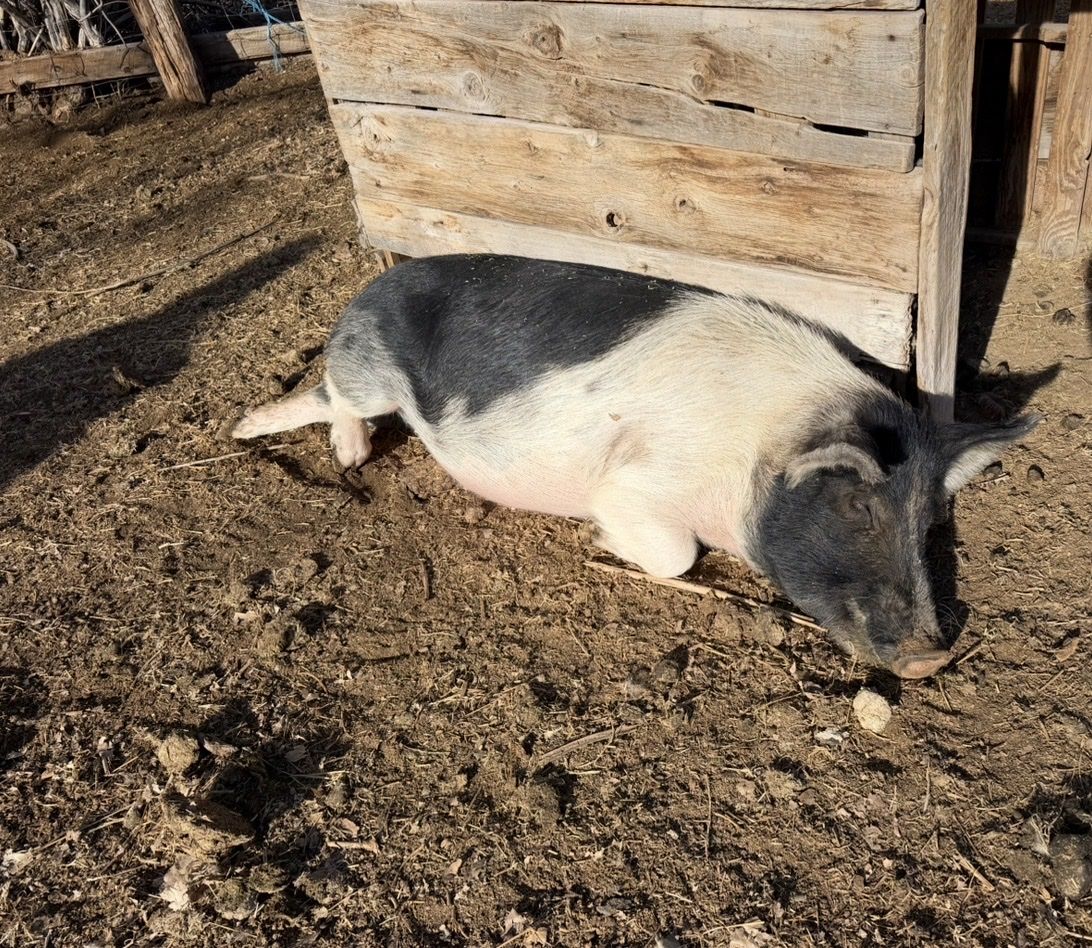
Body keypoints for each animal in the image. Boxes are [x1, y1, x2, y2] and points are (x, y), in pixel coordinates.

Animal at [233, 254, 1037, 678]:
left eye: (929, 521)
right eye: (859, 507)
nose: (932, 657)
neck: (751, 454)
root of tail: (369, 289)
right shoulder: (633, 487)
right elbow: (676, 555)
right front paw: (601, 542)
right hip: (365, 370)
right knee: (336, 393)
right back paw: (338, 452)